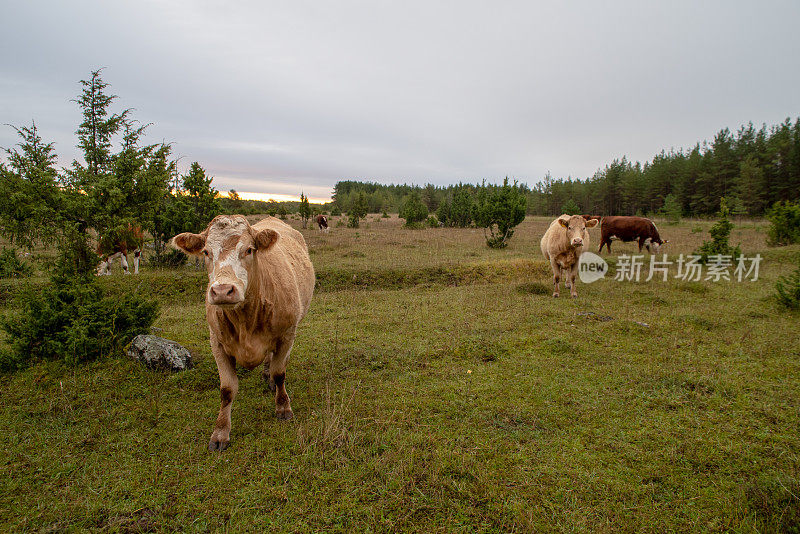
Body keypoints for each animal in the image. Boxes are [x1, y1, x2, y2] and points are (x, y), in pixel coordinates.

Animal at [173, 214, 316, 452]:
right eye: (206, 252)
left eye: (249, 250)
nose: (222, 291)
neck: (245, 321)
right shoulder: (217, 343)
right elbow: (227, 389)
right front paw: (220, 432)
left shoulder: (287, 335)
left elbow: (280, 373)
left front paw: (283, 407)